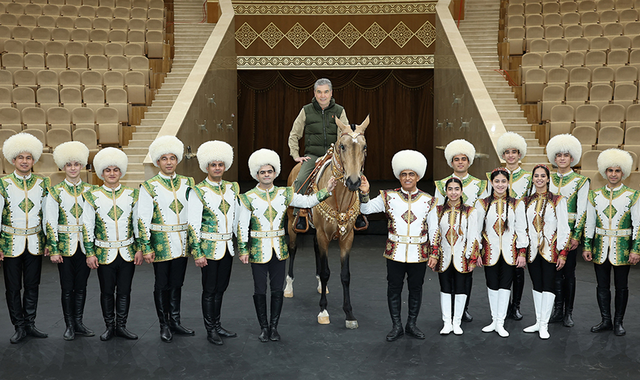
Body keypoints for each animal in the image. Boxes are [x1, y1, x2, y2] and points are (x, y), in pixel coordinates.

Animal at [286, 114, 370, 328]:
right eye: (342, 146)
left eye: (364, 147)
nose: (354, 182)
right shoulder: (324, 235)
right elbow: (326, 272)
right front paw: (323, 311)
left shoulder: (347, 237)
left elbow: (345, 275)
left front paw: (349, 314)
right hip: (292, 224)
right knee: (292, 249)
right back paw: (288, 287)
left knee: (316, 249)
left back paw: (319, 286)